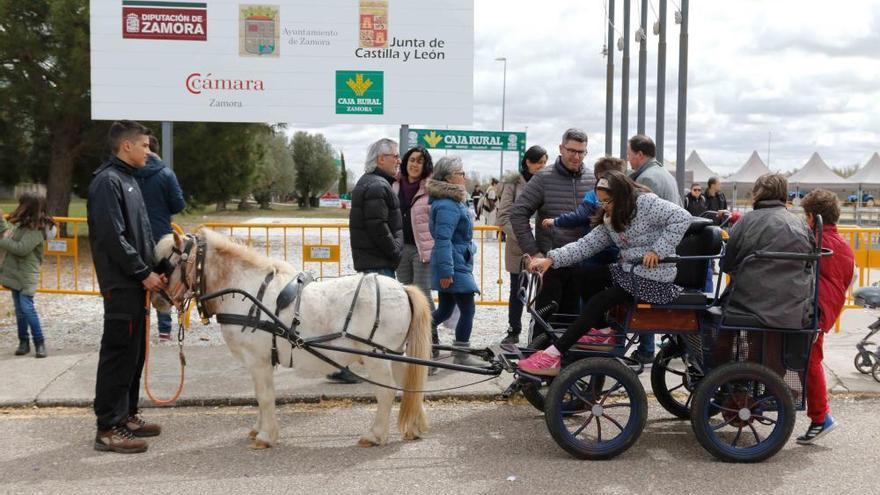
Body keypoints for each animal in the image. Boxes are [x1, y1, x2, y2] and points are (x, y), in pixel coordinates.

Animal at [156, 231, 436, 452]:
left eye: (169, 263)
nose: (157, 299)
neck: (248, 291)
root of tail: (402, 289)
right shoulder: (260, 362)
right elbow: (259, 396)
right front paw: (258, 429)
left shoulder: (258, 360)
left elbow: (265, 396)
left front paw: (266, 436)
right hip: (395, 354)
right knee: (410, 386)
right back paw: (413, 427)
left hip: (377, 358)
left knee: (387, 392)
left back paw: (375, 434)